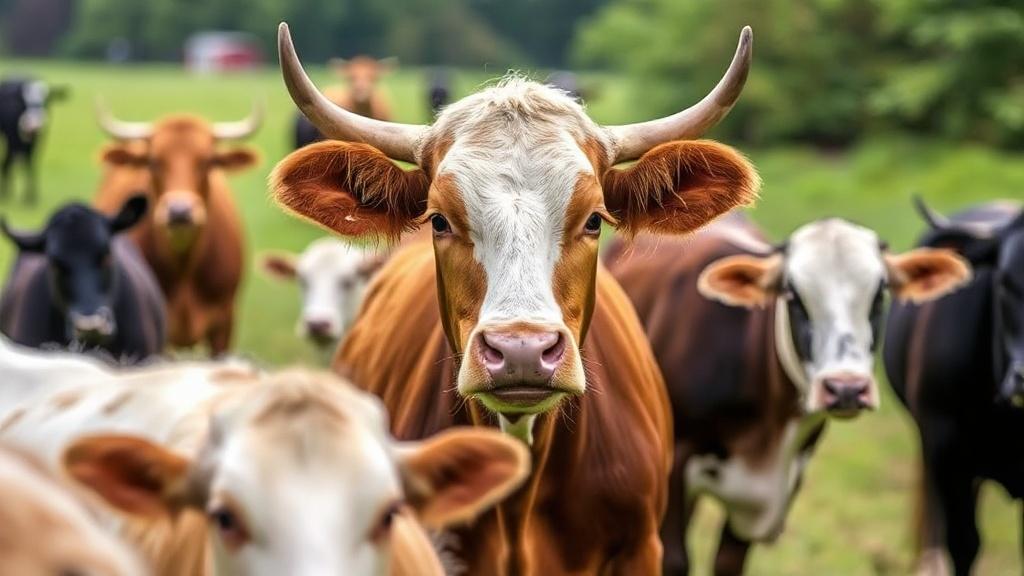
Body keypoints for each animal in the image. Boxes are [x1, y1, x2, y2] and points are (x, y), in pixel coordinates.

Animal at [604, 215, 971, 575]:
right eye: (793, 295)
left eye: (880, 293)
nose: (846, 388)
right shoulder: (675, 468)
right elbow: (674, 560)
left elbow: (728, 563)